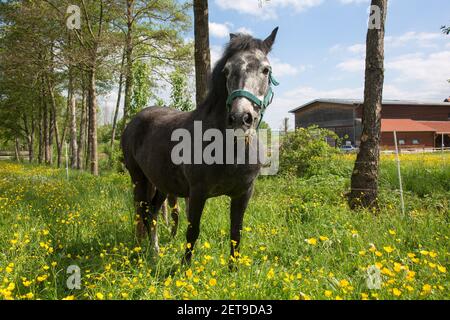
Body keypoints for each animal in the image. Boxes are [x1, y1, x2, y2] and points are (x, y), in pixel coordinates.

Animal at [121, 28, 280, 264]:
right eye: (226, 71)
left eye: (265, 70)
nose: (240, 118)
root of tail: (135, 120)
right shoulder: (197, 193)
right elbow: (192, 232)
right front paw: (184, 269)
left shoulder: (243, 194)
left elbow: (236, 235)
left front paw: (233, 270)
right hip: (139, 180)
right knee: (141, 215)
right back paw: (141, 255)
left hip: (161, 184)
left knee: (153, 214)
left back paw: (156, 254)